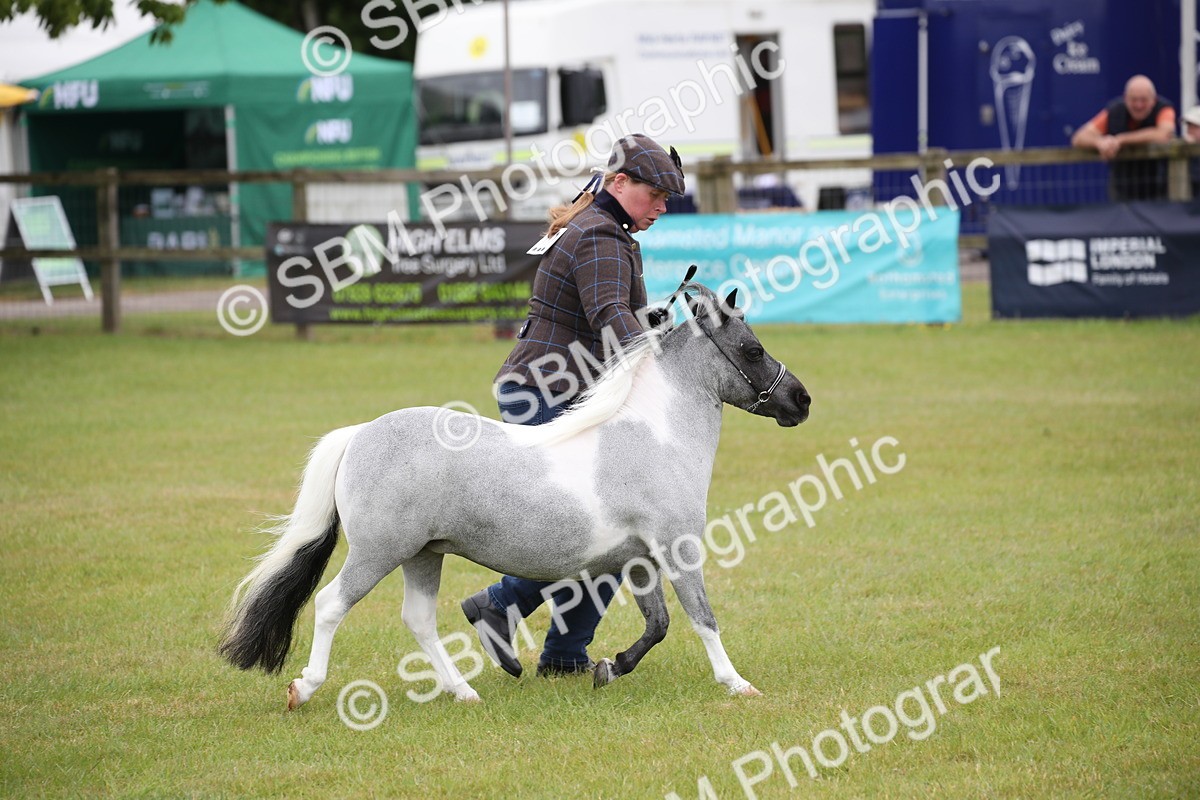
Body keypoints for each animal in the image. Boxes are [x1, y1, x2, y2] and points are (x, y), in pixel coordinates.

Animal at [219, 282, 811, 708]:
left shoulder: (639, 561)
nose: (801, 401)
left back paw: (464, 691)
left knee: (419, 620)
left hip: (423, 555)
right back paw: (304, 688)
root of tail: (361, 433)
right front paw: (737, 684)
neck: (654, 437)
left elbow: (658, 625)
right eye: (752, 349)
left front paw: (608, 668)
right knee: (330, 605)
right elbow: (702, 618)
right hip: (378, 552)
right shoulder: (678, 548)